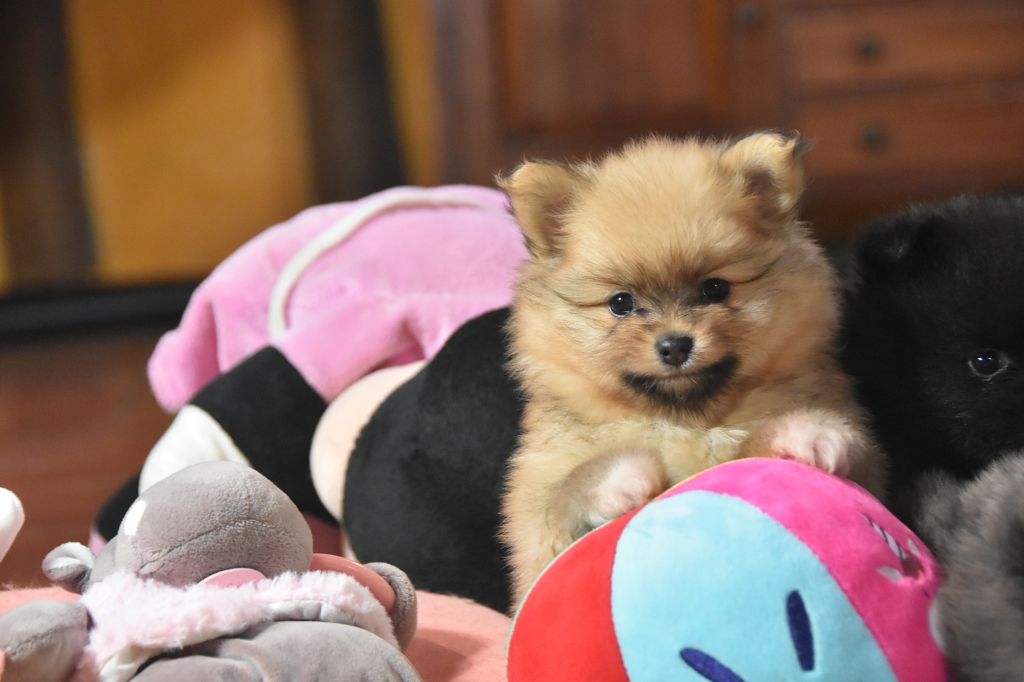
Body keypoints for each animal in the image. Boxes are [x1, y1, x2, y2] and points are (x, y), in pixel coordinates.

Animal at [499, 132, 885, 604]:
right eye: (621, 303)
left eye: (714, 289)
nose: (675, 344)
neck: (684, 423)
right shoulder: (540, 507)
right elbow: (567, 491)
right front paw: (616, 479)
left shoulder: (869, 471)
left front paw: (807, 434)